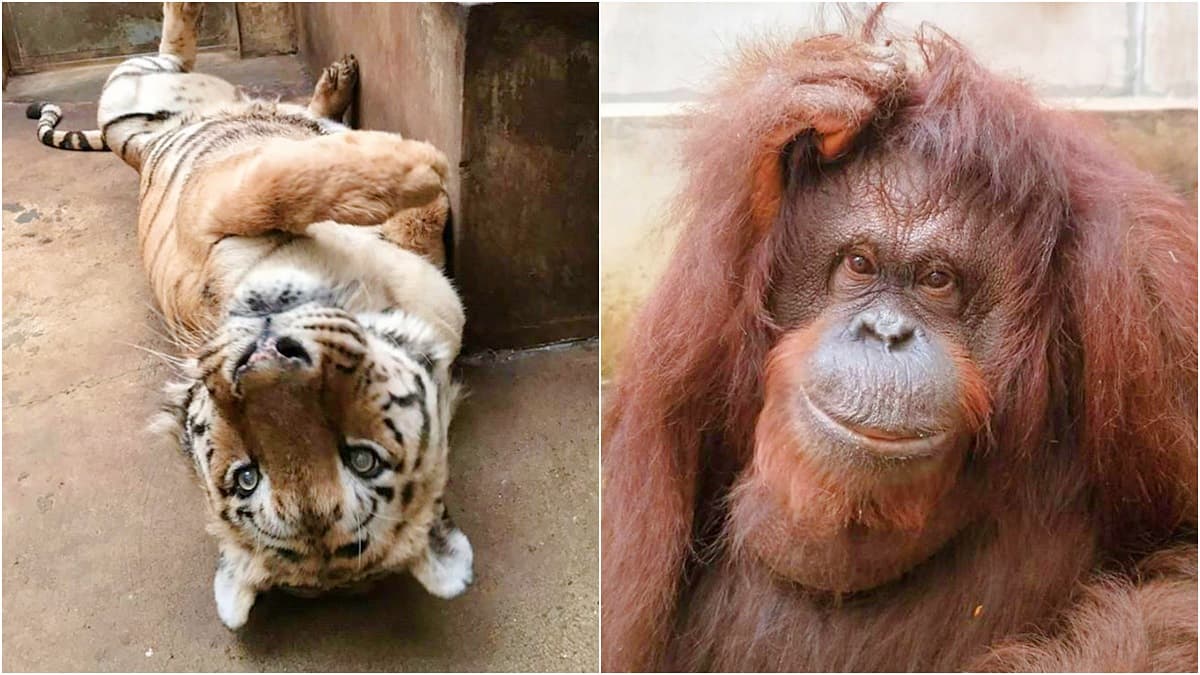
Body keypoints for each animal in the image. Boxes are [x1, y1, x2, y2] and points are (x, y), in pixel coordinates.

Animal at [27, 2, 474, 629]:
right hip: (132, 90)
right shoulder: (214, 204)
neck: (360, 285)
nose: (260, 360)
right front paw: (423, 167)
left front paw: (416, 177)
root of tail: (134, 152)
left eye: (360, 460)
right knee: (175, 50)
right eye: (248, 474)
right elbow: (286, 181)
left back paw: (332, 83)